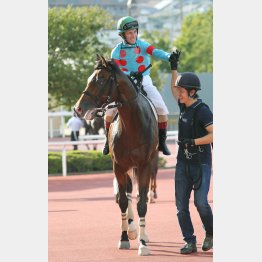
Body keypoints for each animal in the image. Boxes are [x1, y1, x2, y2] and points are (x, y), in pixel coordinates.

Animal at [73, 54, 158, 256]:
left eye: (101, 79)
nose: (78, 108)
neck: (133, 124)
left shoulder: (144, 164)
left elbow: (142, 203)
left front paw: (143, 243)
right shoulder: (118, 165)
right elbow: (123, 201)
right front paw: (125, 237)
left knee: (136, 194)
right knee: (126, 193)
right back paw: (132, 227)